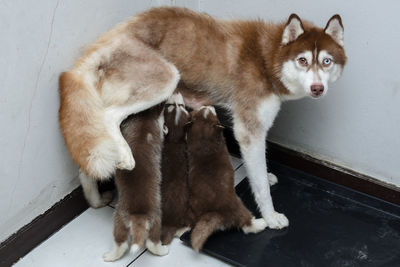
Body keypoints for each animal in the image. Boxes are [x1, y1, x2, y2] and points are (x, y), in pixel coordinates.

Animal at [57, 6, 346, 228]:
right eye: (302, 60)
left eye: (327, 62)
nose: (317, 88)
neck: (268, 57)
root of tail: (109, 38)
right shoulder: (249, 129)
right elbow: (261, 185)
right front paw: (271, 216)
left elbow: (257, 170)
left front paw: (265, 175)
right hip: (165, 76)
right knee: (108, 116)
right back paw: (126, 155)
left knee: (89, 156)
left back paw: (95, 200)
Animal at [103, 103, 167, 262]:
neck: (143, 119)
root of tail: (139, 216)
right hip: (156, 222)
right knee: (152, 243)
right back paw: (163, 250)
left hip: (119, 222)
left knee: (120, 244)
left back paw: (109, 256)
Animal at [186, 106, 268, 251]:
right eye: (212, 112)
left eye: (202, 109)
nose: (208, 105)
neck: (203, 142)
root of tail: (214, 212)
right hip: (239, 205)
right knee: (246, 225)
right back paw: (260, 223)